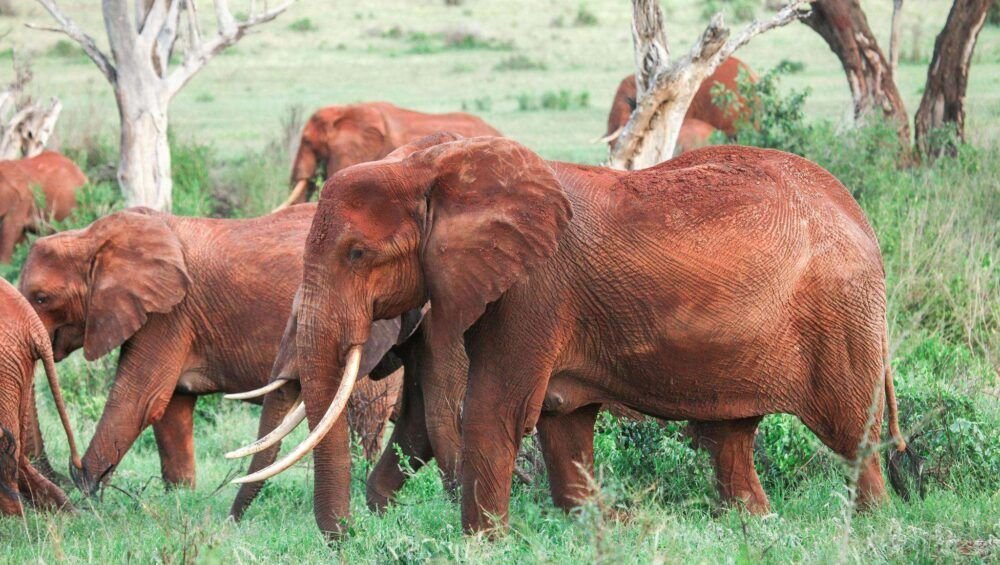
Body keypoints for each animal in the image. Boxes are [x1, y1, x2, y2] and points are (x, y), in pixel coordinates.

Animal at [19, 205, 402, 504]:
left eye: (41, 298)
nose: (68, 470)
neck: (91, 237)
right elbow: (170, 409)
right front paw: (180, 498)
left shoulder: (168, 316)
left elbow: (139, 400)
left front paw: (87, 497)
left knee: (366, 413)